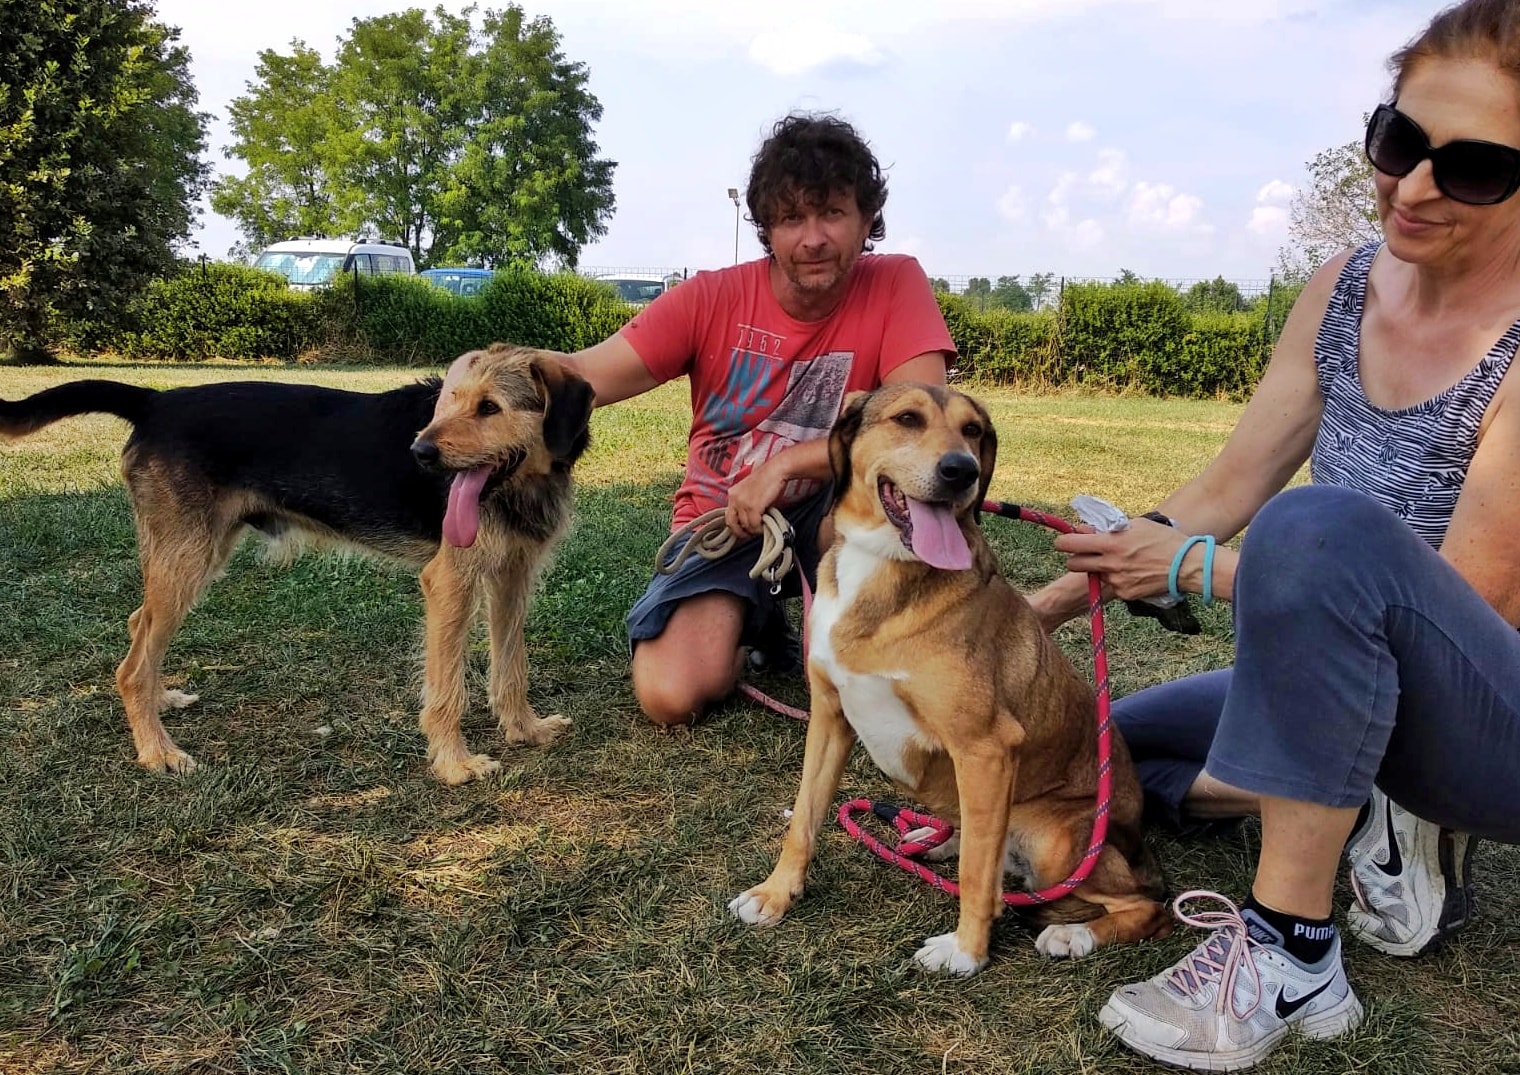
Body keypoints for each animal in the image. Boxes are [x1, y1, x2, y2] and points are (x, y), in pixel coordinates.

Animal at [0, 343, 593, 784]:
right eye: (447, 403)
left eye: (490, 407)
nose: (419, 454)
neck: (522, 484)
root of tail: (154, 401)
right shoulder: (449, 584)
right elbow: (448, 686)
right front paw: (454, 764)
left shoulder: (512, 578)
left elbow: (511, 666)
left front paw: (525, 729)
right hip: (187, 558)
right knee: (130, 665)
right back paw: (157, 752)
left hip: (190, 556)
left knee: (138, 628)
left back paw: (159, 699)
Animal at [729, 383, 1170, 974]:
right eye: (907, 419)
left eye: (973, 431)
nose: (961, 471)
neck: (884, 567)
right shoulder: (829, 717)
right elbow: (804, 818)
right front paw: (775, 894)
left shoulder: (985, 748)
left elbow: (976, 875)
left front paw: (966, 951)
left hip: (1057, 842)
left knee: (1147, 906)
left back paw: (1073, 934)